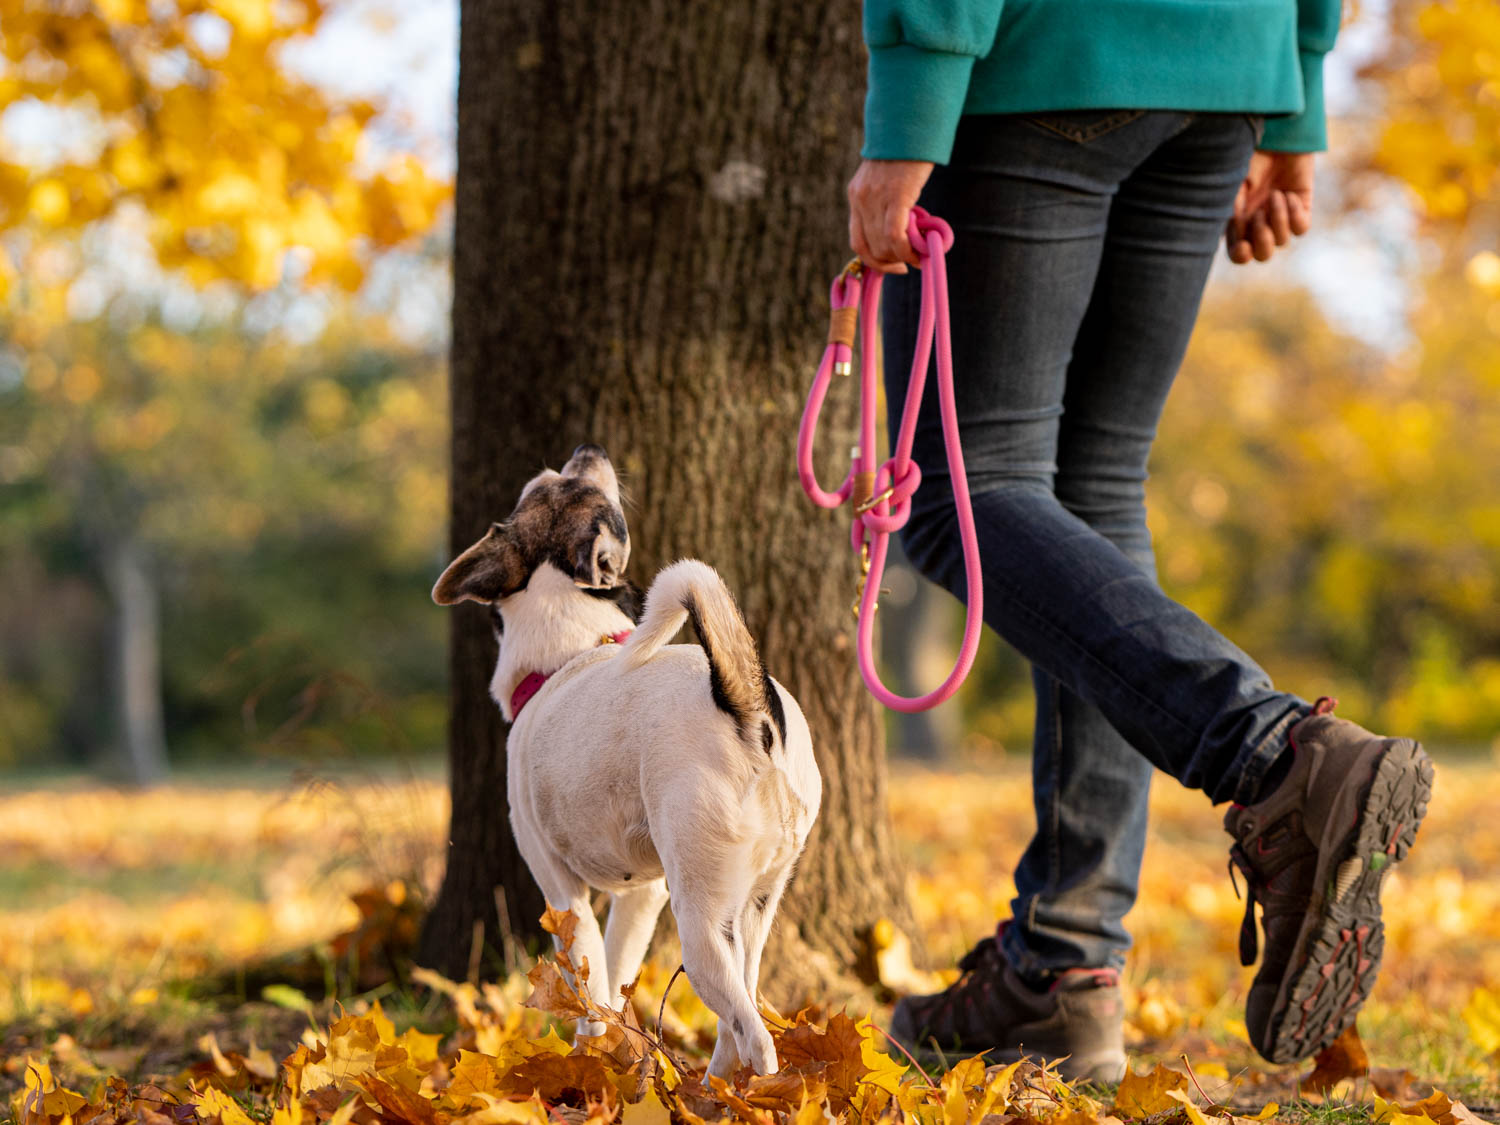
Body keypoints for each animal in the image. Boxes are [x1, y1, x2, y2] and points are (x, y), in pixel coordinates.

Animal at [429, 444, 828, 1080]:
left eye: (548, 484)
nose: (588, 449)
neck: (572, 647)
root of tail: (744, 703)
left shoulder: (562, 894)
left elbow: (589, 994)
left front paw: (586, 1064)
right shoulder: (641, 897)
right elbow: (614, 981)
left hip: (700, 924)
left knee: (753, 1034)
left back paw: (756, 1092)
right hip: (751, 906)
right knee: (738, 1014)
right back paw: (712, 1090)